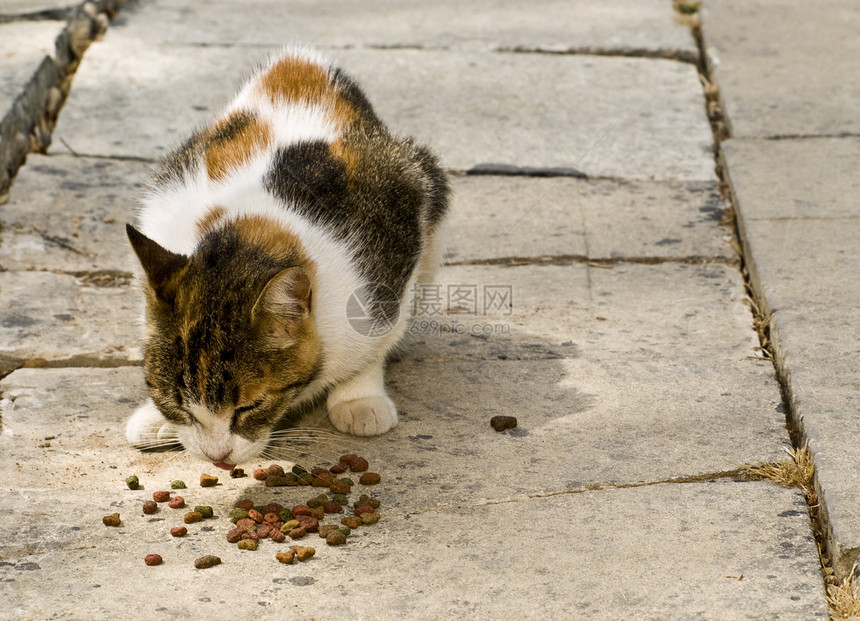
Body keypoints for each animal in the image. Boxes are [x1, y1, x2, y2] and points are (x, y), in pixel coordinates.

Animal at [127, 46, 450, 468]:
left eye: (249, 408)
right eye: (178, 404)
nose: (218, 457)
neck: (252, 226)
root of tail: (298, 62)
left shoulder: (392, 257)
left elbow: (376, 342)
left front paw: (359, 396)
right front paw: (157, 418)